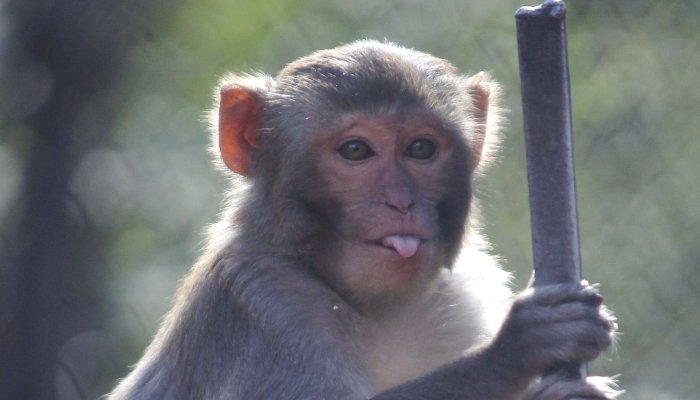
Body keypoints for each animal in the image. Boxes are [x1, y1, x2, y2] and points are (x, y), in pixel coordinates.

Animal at [108, 40, 620, 400]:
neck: (376, 310)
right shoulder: (267, 308)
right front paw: (512, 351)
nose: (400, 201)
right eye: (355, 151)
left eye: (421, 149)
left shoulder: (462, 295)